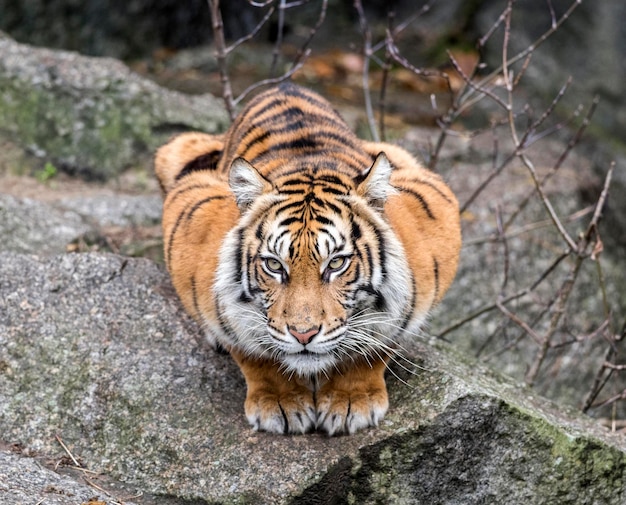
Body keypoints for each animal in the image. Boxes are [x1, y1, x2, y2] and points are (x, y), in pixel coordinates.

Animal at [154, 81, 460, 434]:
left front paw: (350, 400)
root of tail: (284, 86)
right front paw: (280, 401)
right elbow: (249, 347)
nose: (303, 334)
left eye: (337, 263)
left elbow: (376, 342)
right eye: (274, 265)